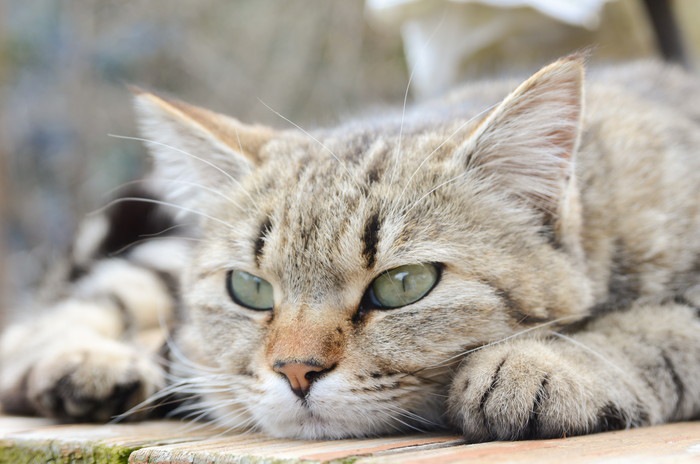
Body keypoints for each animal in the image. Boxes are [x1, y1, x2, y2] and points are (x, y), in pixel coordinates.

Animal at [1, 55, 700, 442]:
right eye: (249, 288)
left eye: (403, 285)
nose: (295, 371)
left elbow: (662, 324)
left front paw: (544, 362)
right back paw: (85, 366)